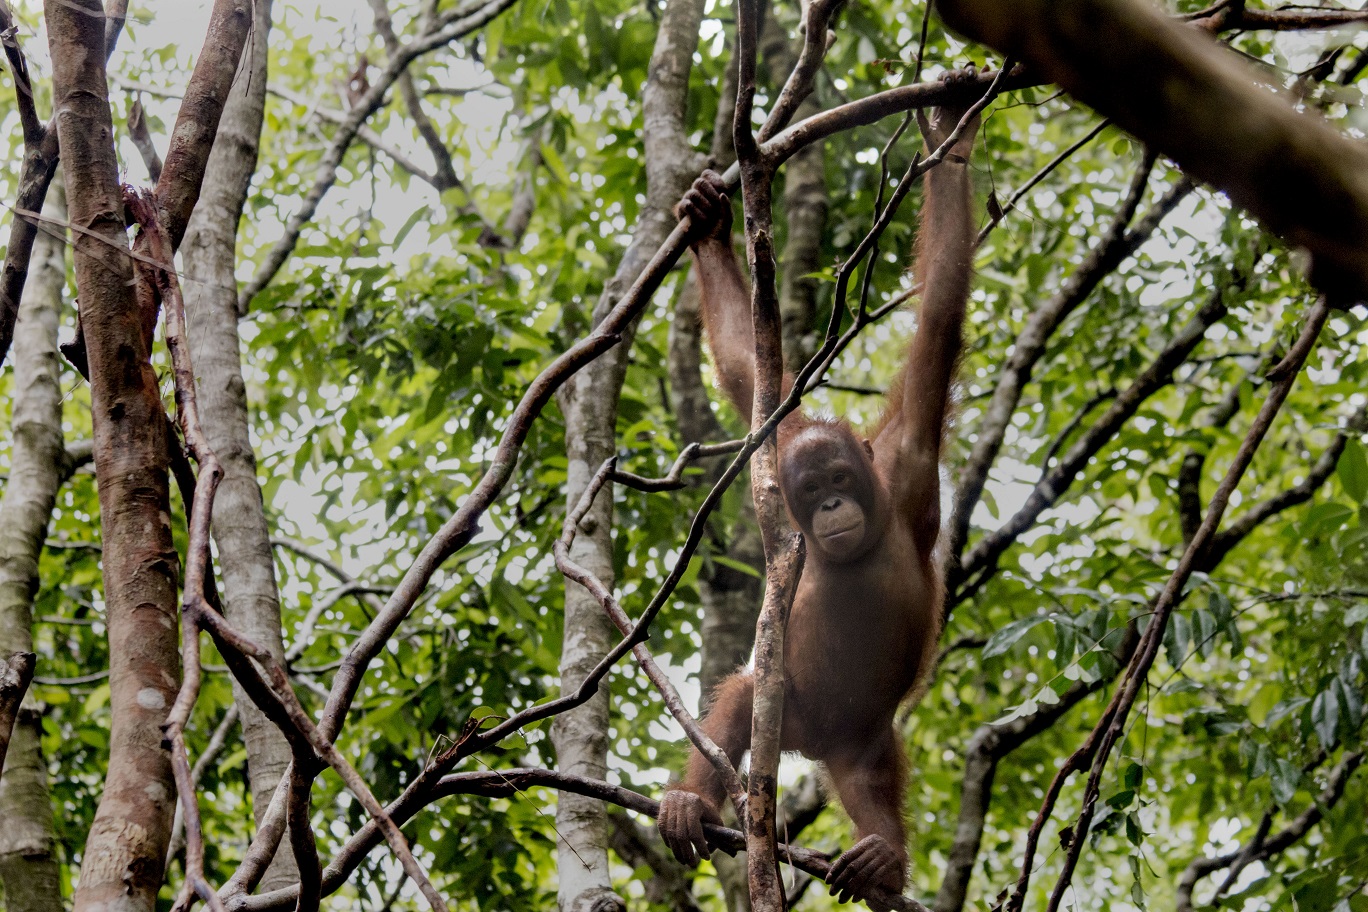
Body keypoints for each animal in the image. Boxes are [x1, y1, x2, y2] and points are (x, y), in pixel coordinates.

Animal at [656, 69, 982, 910]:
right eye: (809, 495)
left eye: (839, 480)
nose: (832, 508)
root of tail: (811, 749)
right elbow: (746, 369)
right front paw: (710, 229)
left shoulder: (907, 463)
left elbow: (940, 312)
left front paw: (950, 138)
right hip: (792, 709)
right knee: (742, 697)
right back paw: (693, 804)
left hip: (860, 742)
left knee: (876, 780)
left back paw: (882, 860)